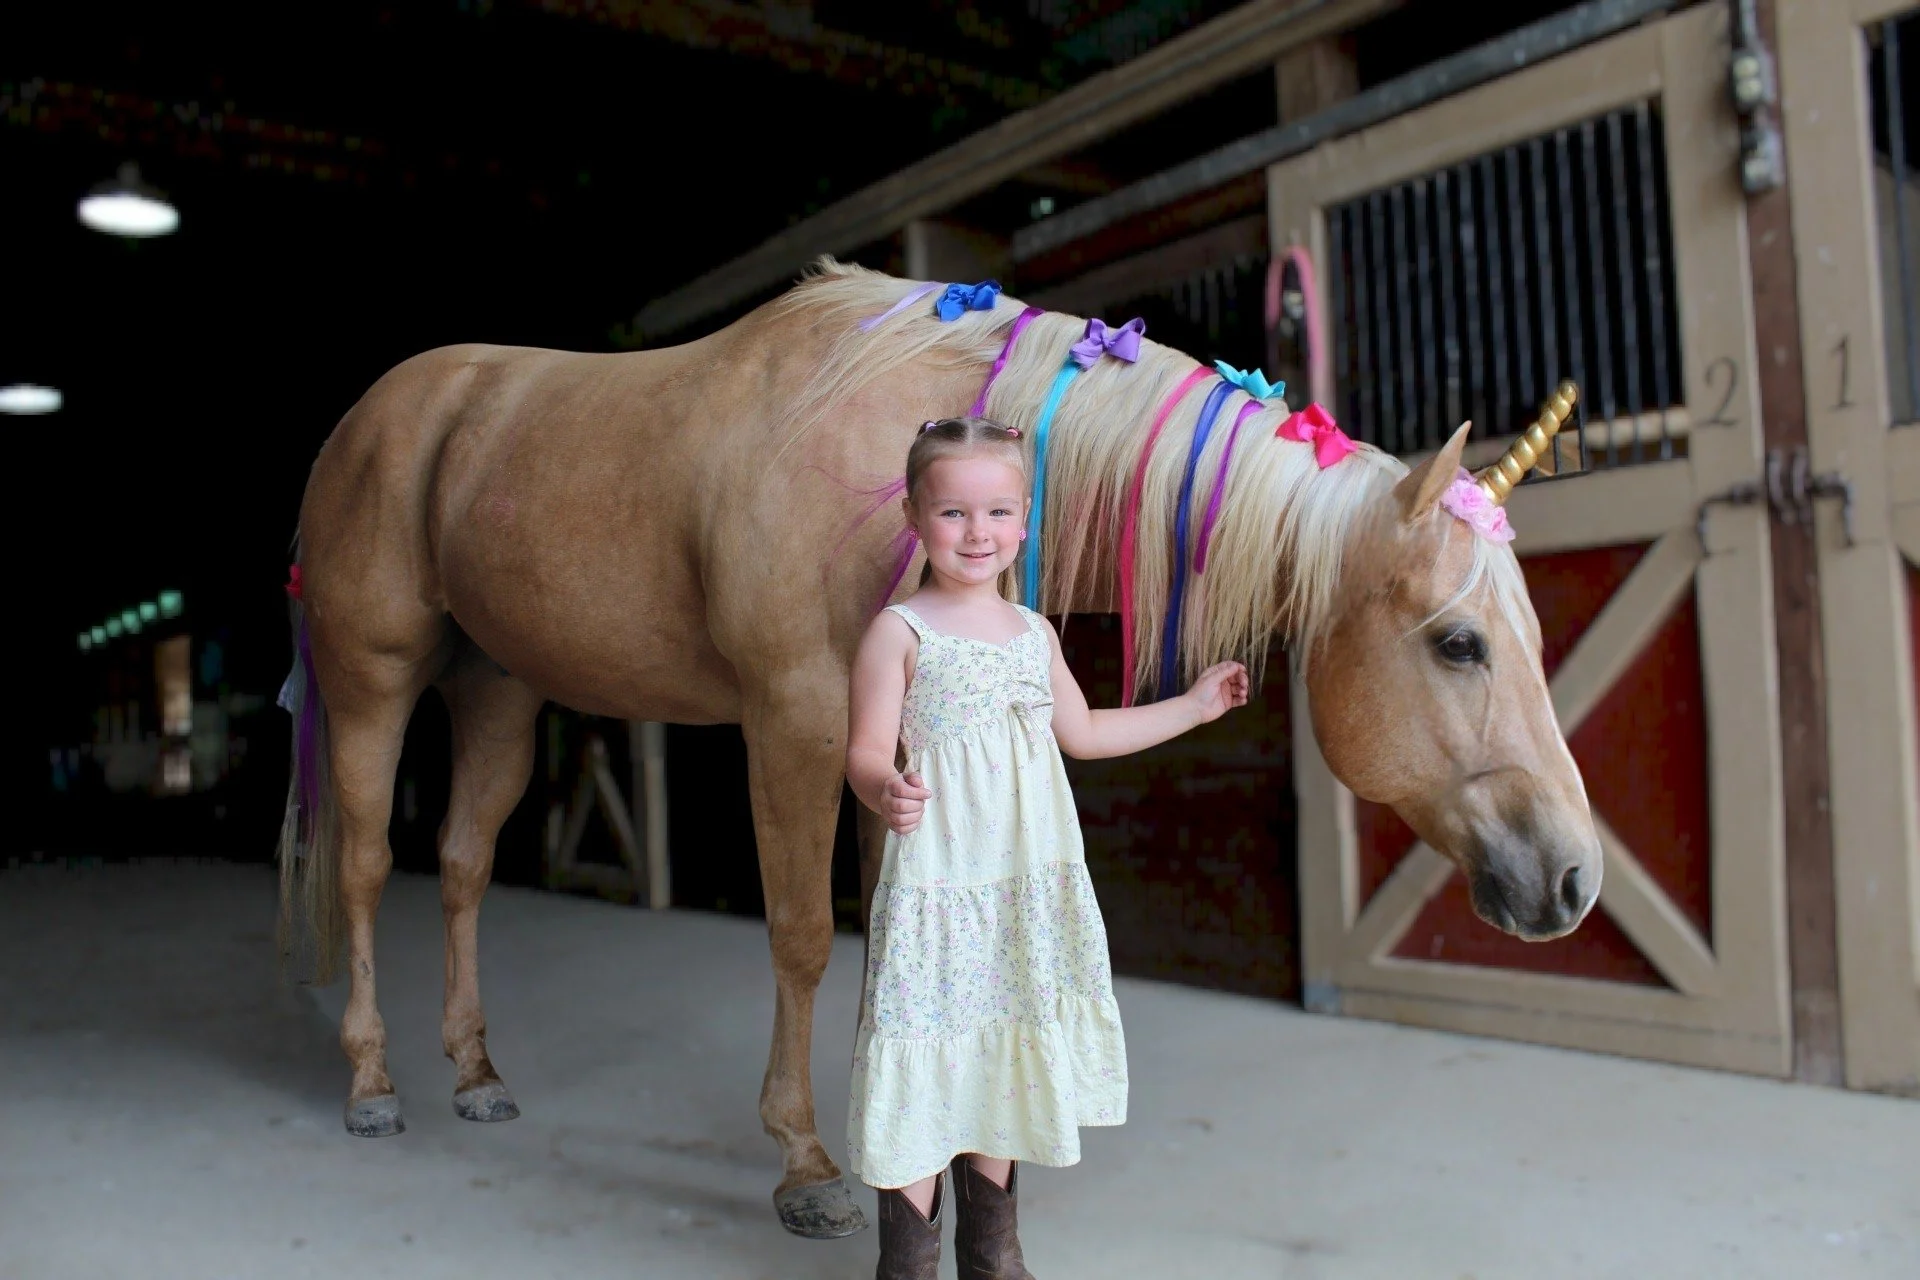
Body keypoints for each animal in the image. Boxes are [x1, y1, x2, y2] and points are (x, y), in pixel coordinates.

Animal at [275, 258, 1602, 1240]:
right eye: (1460, 642)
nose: (1575, 878)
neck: (889, 435)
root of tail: (371, 420)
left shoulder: (888, 754)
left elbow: (881, 938)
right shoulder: (795, 722)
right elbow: (805, 939)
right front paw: (811, 1161)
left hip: (496, 690)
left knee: (460, 865)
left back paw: (475, 1072)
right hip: (375, 683)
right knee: (365, 868)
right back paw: (373, 1084)